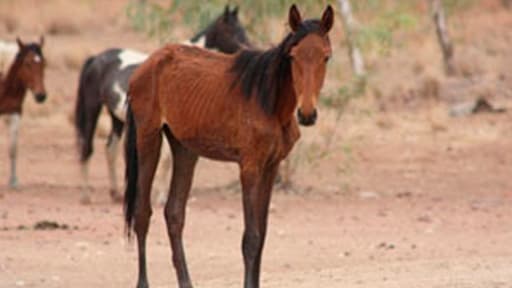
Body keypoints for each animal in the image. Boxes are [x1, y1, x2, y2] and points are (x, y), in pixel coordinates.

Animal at [0, 36, 46, 189]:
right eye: (27, 63)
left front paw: (14, 181)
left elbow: (13, 148)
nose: (41, 96)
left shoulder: (14, 113)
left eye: (44, 63)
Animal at [74, 6, 252, 205]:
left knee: (110, 149)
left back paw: (115, 194)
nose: (249, 48)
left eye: (242, 29)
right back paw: (86, 195)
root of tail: (96, 58)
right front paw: (161, 197)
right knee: (87, 148)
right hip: (92, 108)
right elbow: (166, 159)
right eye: (231, 31)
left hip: (116, 117)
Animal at [123, 5, 332, 288]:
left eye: (326, 57)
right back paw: (143, 282)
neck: (269, 102)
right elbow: (251, 239)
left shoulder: (271, 168)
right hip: (148, 138)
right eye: (293, 56)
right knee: (142, 212)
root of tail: (145, 66)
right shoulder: (249, 168)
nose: (307, 114)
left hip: (184, 149)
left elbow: (262, 236)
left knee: (174, 213)